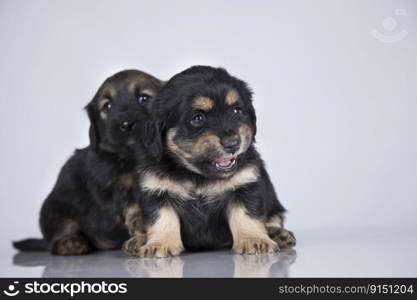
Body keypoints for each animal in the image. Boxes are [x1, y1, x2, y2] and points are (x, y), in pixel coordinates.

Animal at [13, 70, 162, 255]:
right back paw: (71, 243)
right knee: (59, 235)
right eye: (107, 106)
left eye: (143, 98)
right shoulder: (118, 185)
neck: (132, 157)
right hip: (54, 209)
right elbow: (133, 203)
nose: (126, 124)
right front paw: (142, 220)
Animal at [124, 65, 296, 258]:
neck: (197, 175)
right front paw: (160, 244)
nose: (233, 143)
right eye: (198, 118)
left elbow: (247, 215)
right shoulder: (156, 191)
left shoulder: (245, 185)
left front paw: (254, 240)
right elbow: (162, 218)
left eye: (236, 110)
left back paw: (278, 234)